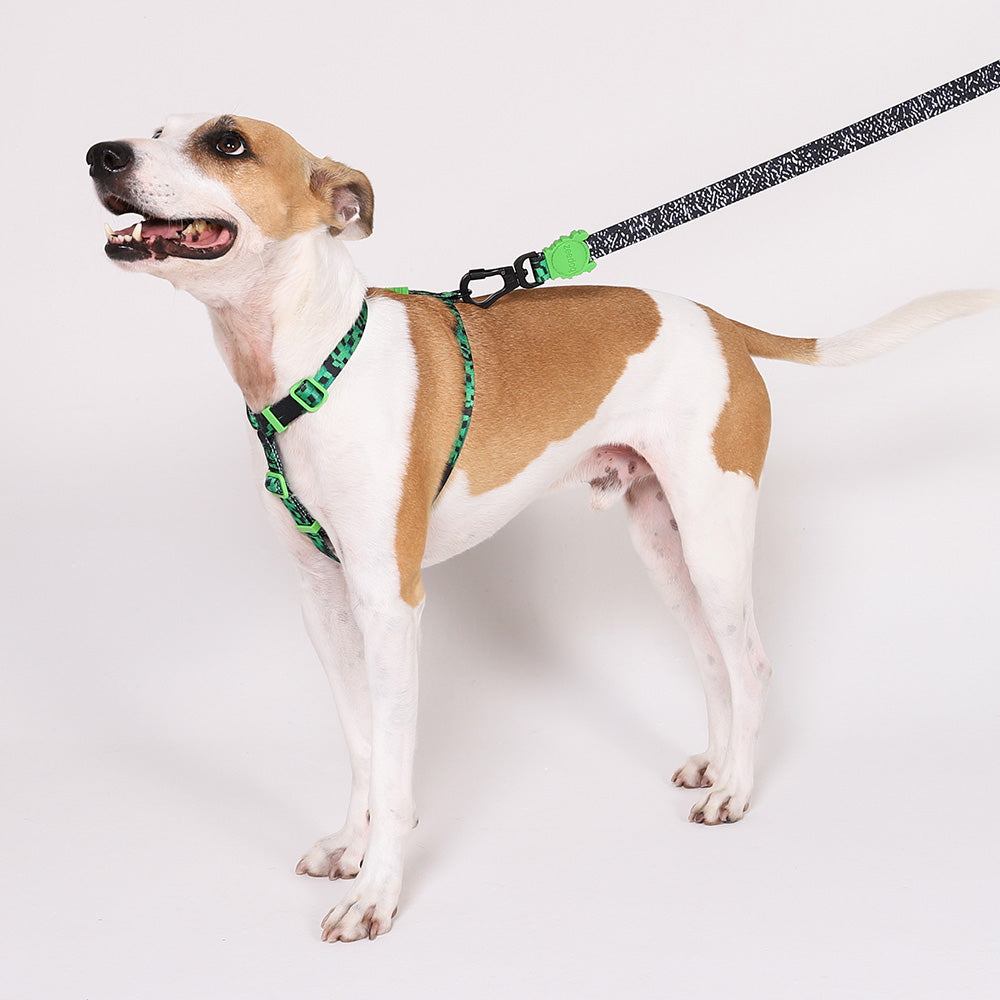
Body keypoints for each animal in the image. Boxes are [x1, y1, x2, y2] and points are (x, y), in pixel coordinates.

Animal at [87, 114, 999, 942]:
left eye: (227, 143)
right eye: (156, 130)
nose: (101, 154)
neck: (314, 367)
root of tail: (721, 323)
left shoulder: (390, 604)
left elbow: (393, 763)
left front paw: (377, 892)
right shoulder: (322, 598)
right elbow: (361, 746)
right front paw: (353, 845)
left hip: (713, 541)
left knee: (752, 664)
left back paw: (737, 787)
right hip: (662, 545)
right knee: (713, 661)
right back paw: (714, 761)